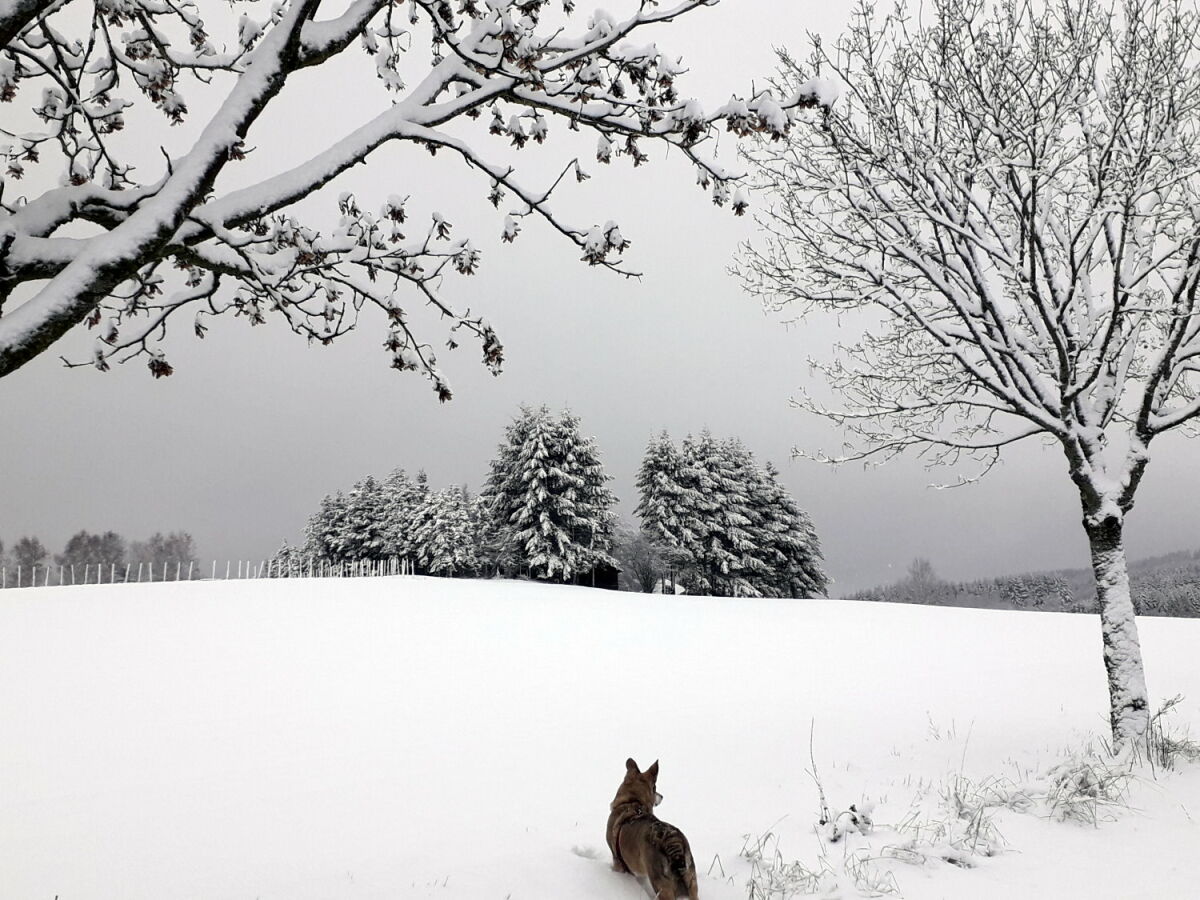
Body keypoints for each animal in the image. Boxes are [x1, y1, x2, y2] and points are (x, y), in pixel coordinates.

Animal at [604, 758, 700, 897]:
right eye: (655, 788)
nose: (662, 796)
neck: (632, 801)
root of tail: (672, 841)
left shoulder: (618, 862)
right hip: (691, 881)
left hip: (662, 886)